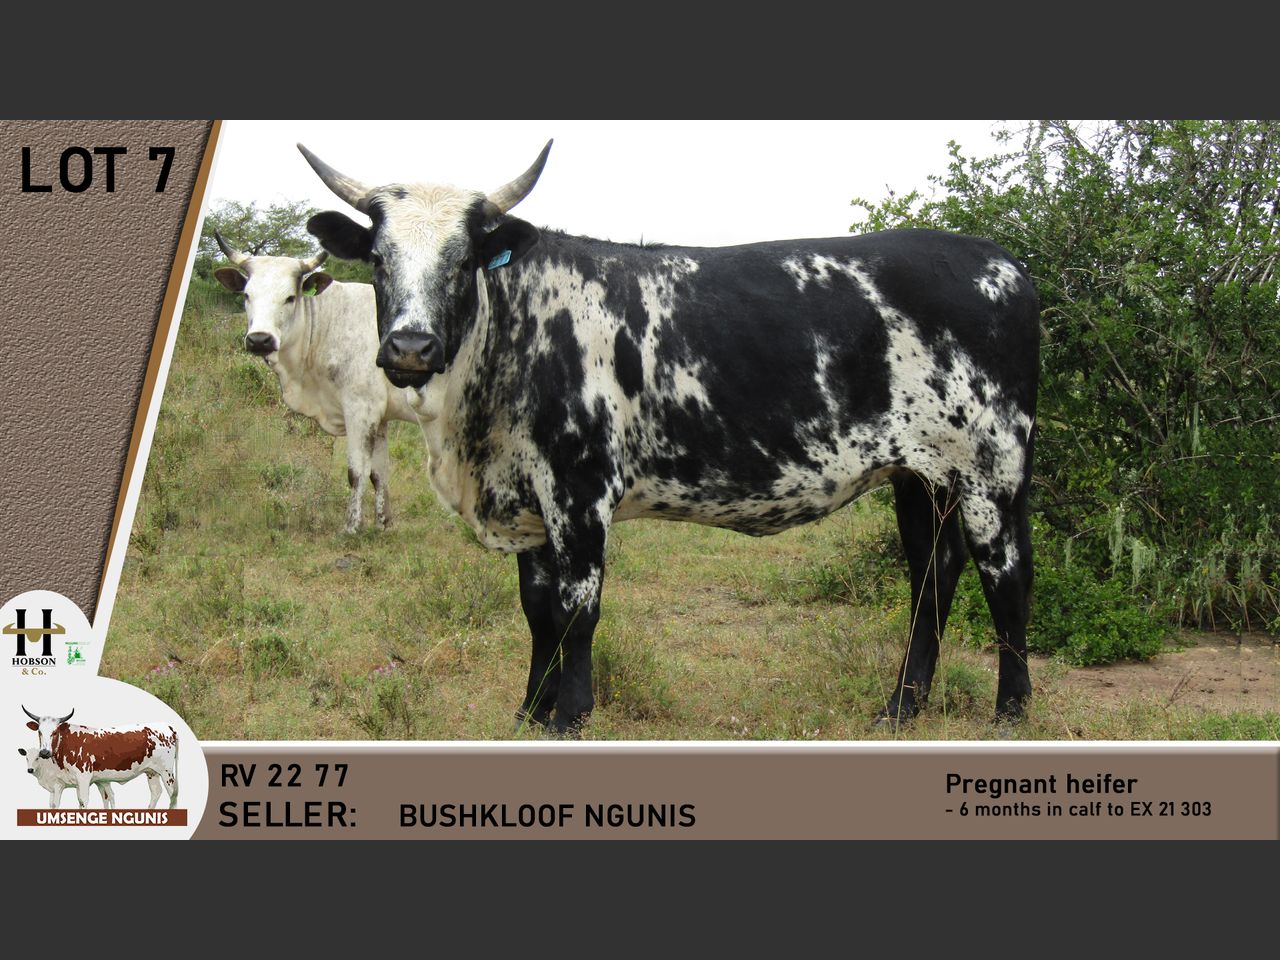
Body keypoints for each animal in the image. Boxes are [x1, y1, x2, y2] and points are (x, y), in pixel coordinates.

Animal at [22, 706, 179, 808]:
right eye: (39, 732)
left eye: (54, 732)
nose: (44, 752)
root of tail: (168, 726)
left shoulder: (83, 777)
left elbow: (83, 801)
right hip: (151, 772)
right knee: (156, 792)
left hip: (167, 772)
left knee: (173, 794)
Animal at [212, 234, 421, 533]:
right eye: (246, 295)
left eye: (290, 298)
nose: (260, 339)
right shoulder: (379, 416)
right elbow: (378, 474)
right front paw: (383, 525)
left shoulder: (360, 409)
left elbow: (356, 472)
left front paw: (351, 528)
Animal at [298, 140, 1040, 736]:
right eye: (379, 259)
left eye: (462, 261)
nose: (411, 347)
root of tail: (1002, 262)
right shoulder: (528, 496)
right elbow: (537, 609)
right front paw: (529, 711)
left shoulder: (580, 490)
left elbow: (577, 609)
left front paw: (569, 716)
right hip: (920, 477)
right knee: (932, 576)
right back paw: (902, 707)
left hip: (992, 471)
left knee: (1005, 576)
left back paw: (1010, 711)